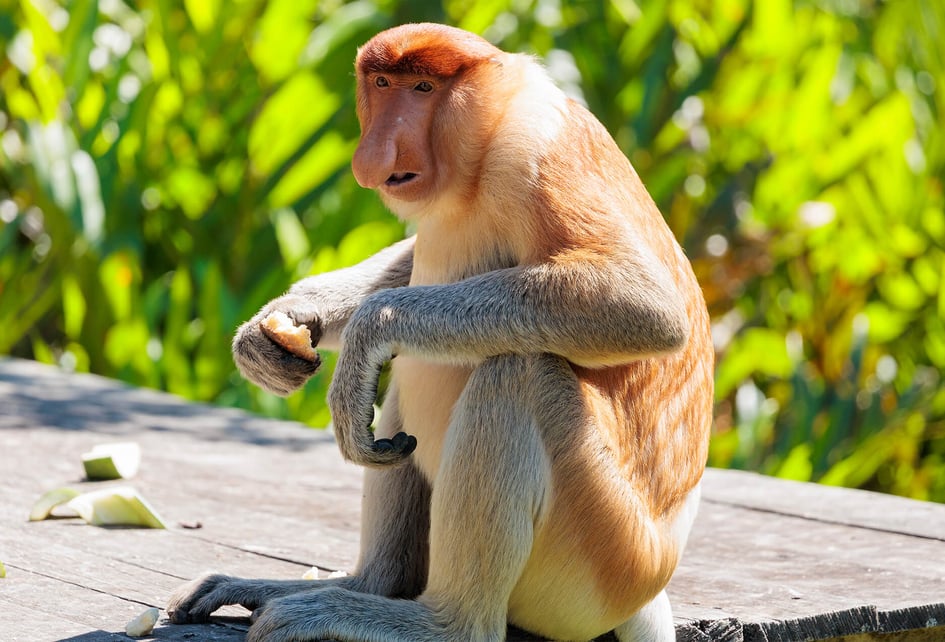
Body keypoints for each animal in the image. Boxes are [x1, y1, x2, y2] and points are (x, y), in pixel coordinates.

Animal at [168, 22, 713, 642]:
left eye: (424, 88)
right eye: (382, 83)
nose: (375, 154)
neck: (474, 166)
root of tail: (649, 585)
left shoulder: (535, 154)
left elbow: (643, 302)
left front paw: (366, 333)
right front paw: (274, 332)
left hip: (603, 555)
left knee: (520, 371)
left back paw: (433, 621)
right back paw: (347, 585)